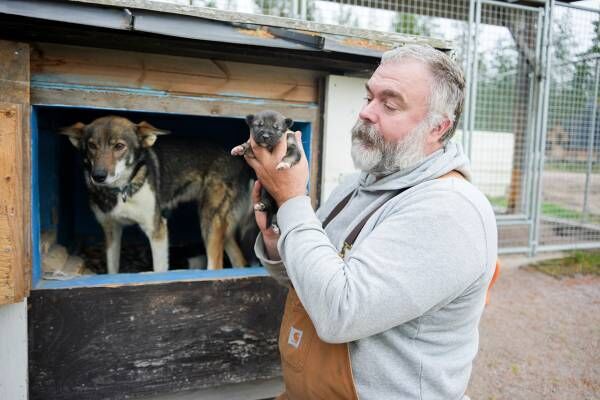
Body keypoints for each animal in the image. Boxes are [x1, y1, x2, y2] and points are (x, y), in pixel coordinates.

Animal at [62, 114, 254, 274]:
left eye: (119, 146)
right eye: (92, 146)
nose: (98, 176)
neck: (121, 190)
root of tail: (239, 161)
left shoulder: (157, 230)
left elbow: (159, 271)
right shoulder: (112, 231)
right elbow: (112, 271)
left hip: (209, 220)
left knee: (216, 265)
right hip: (220, 225)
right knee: (238, 260)